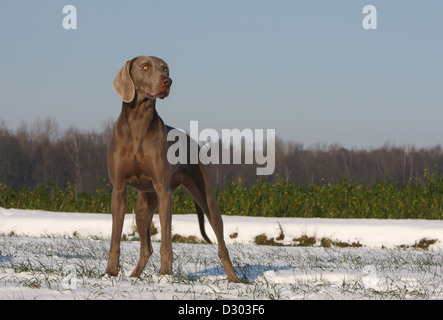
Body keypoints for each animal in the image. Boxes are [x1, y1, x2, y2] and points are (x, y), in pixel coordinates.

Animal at [105, 55, 241, 282]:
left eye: (165, 69)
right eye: (145, 67)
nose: (167, 81)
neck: (138, 123)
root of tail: (195, 143)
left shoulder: (163, 191)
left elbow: (167, 241)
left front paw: (166, 274)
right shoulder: (119, 189)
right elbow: (115, 237)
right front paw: (110, 272)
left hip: (206, 198)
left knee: (221, 244)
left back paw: (234, 279)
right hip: (143, 207)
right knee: (146, 249)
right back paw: (134, 277)